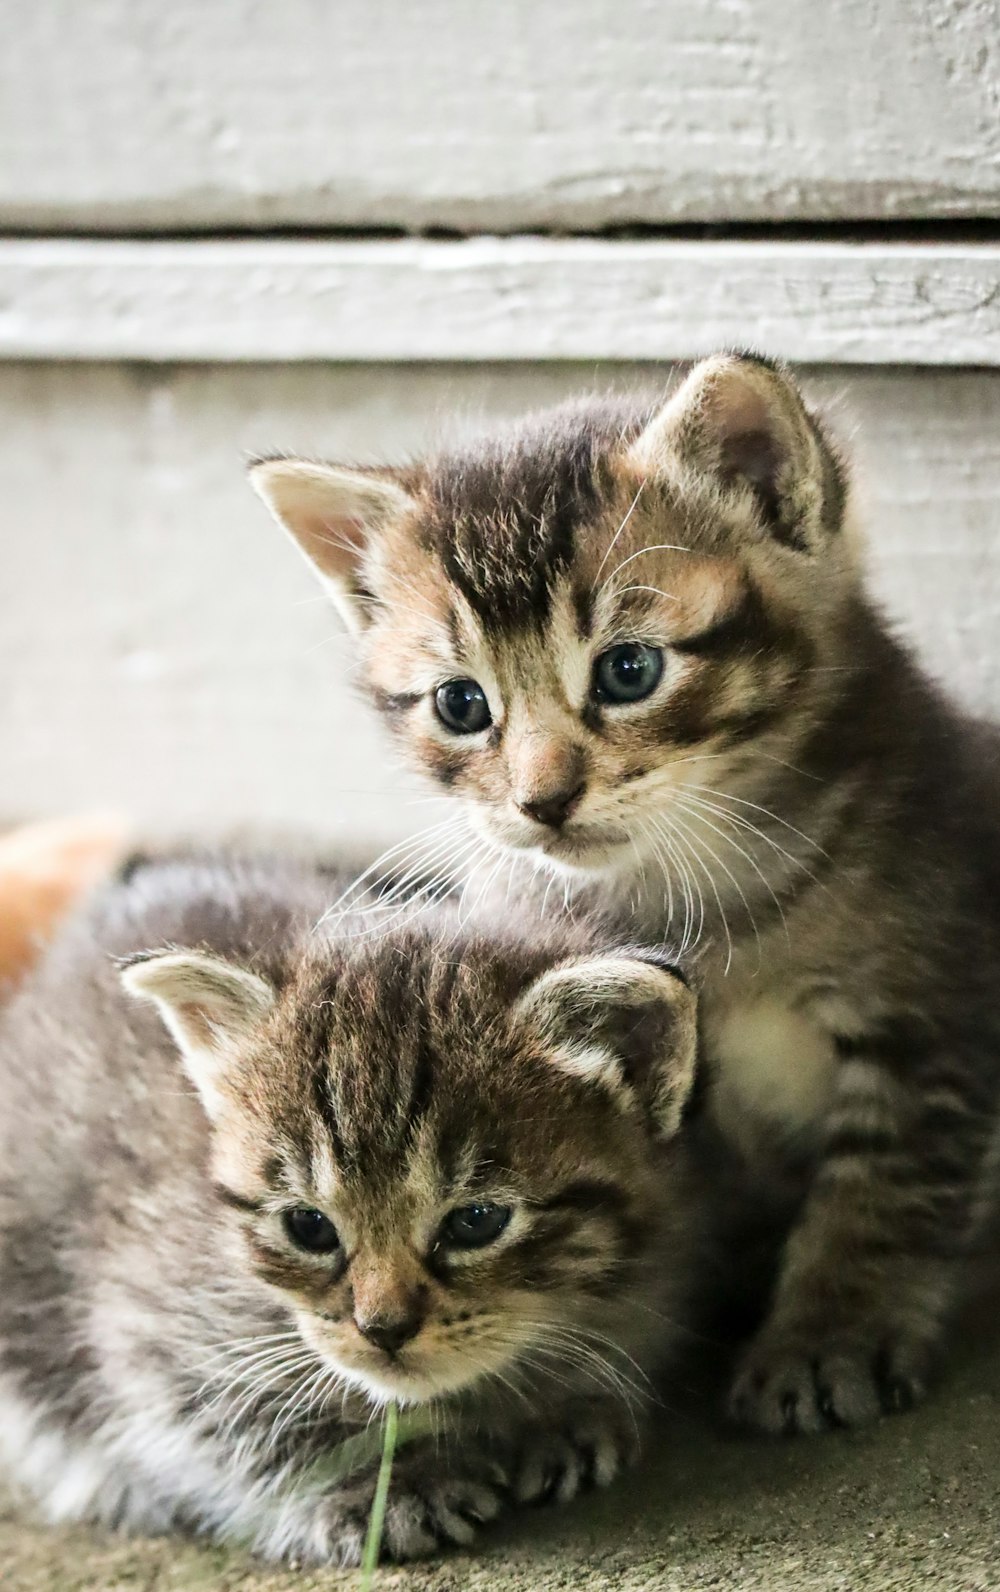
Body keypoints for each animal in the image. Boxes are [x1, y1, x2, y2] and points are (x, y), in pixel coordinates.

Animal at [0, 853, 703, 1560]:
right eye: (308, 1226)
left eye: (476, 1221)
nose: (383, 1329)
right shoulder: (152, 1312)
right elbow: (226, 1415)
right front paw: (387, 1482)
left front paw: (560, 1409)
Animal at [253, 351, 1000, 1445]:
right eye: (461, 704)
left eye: (629, 669)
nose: (542, 799)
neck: (702, 905)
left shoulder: (933, 1005)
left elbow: (884, 1191)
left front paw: (830, 1334)